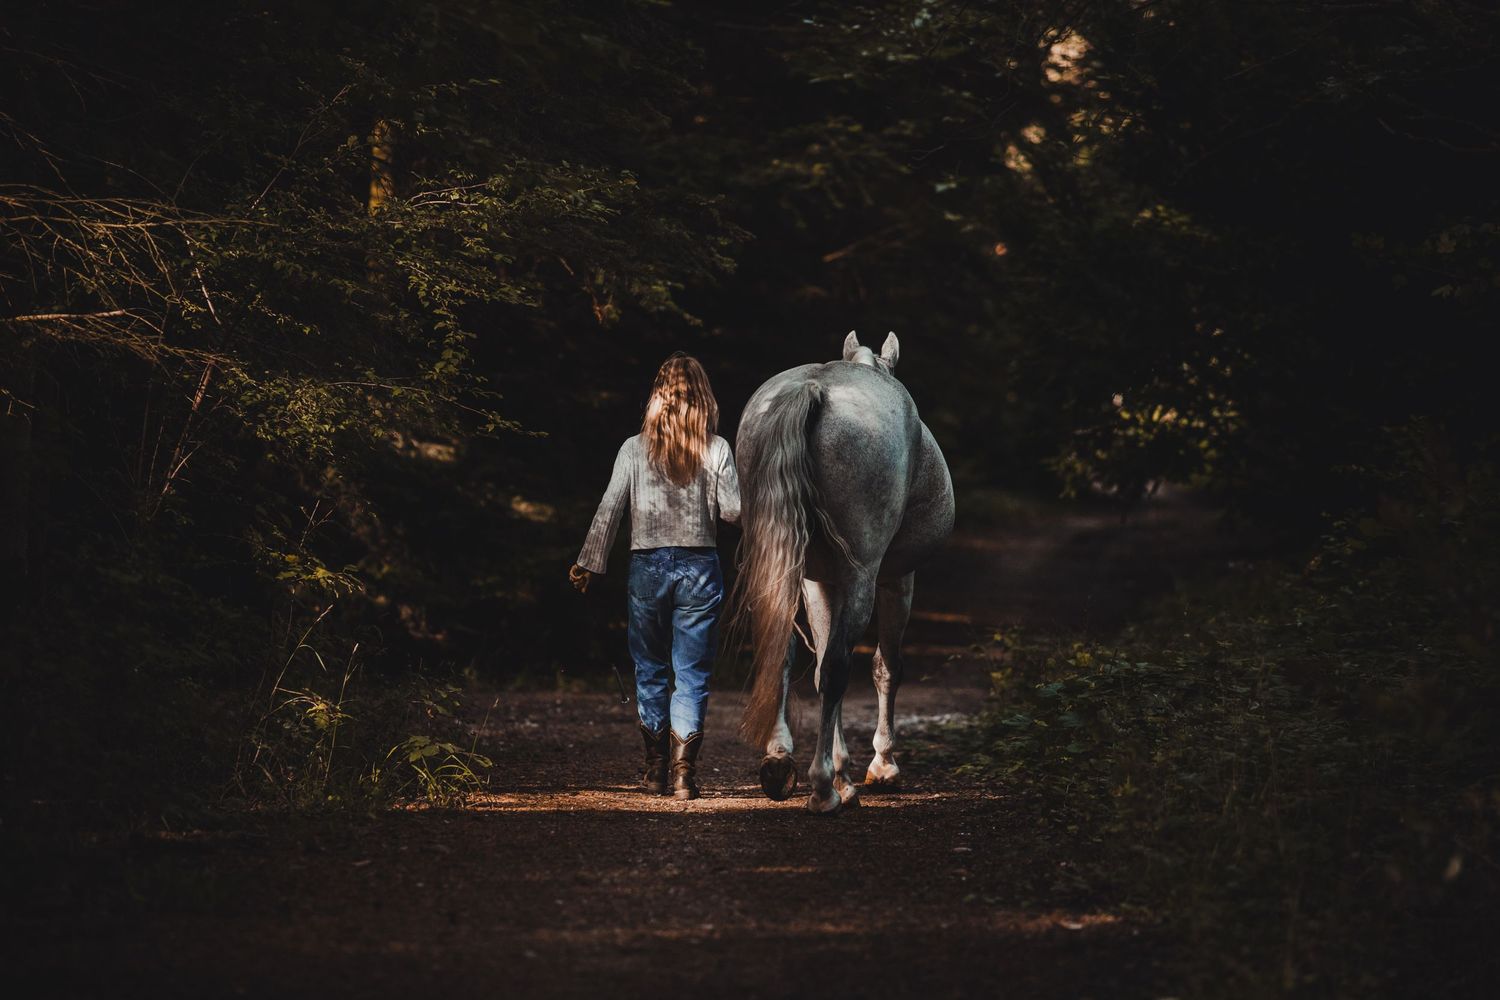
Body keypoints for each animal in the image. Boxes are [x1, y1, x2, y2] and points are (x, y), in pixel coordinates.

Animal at [732, 331, 955, 814]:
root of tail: (813, 389)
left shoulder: (817, 581)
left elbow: (816, 670)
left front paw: (846, 773)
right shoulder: (896, 579)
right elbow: (885, 667)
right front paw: (881, 766)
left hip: (783, 565)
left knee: (782, 650)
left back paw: (781, 763)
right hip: (861, 578)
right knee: (838, 665)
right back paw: (822, 788)